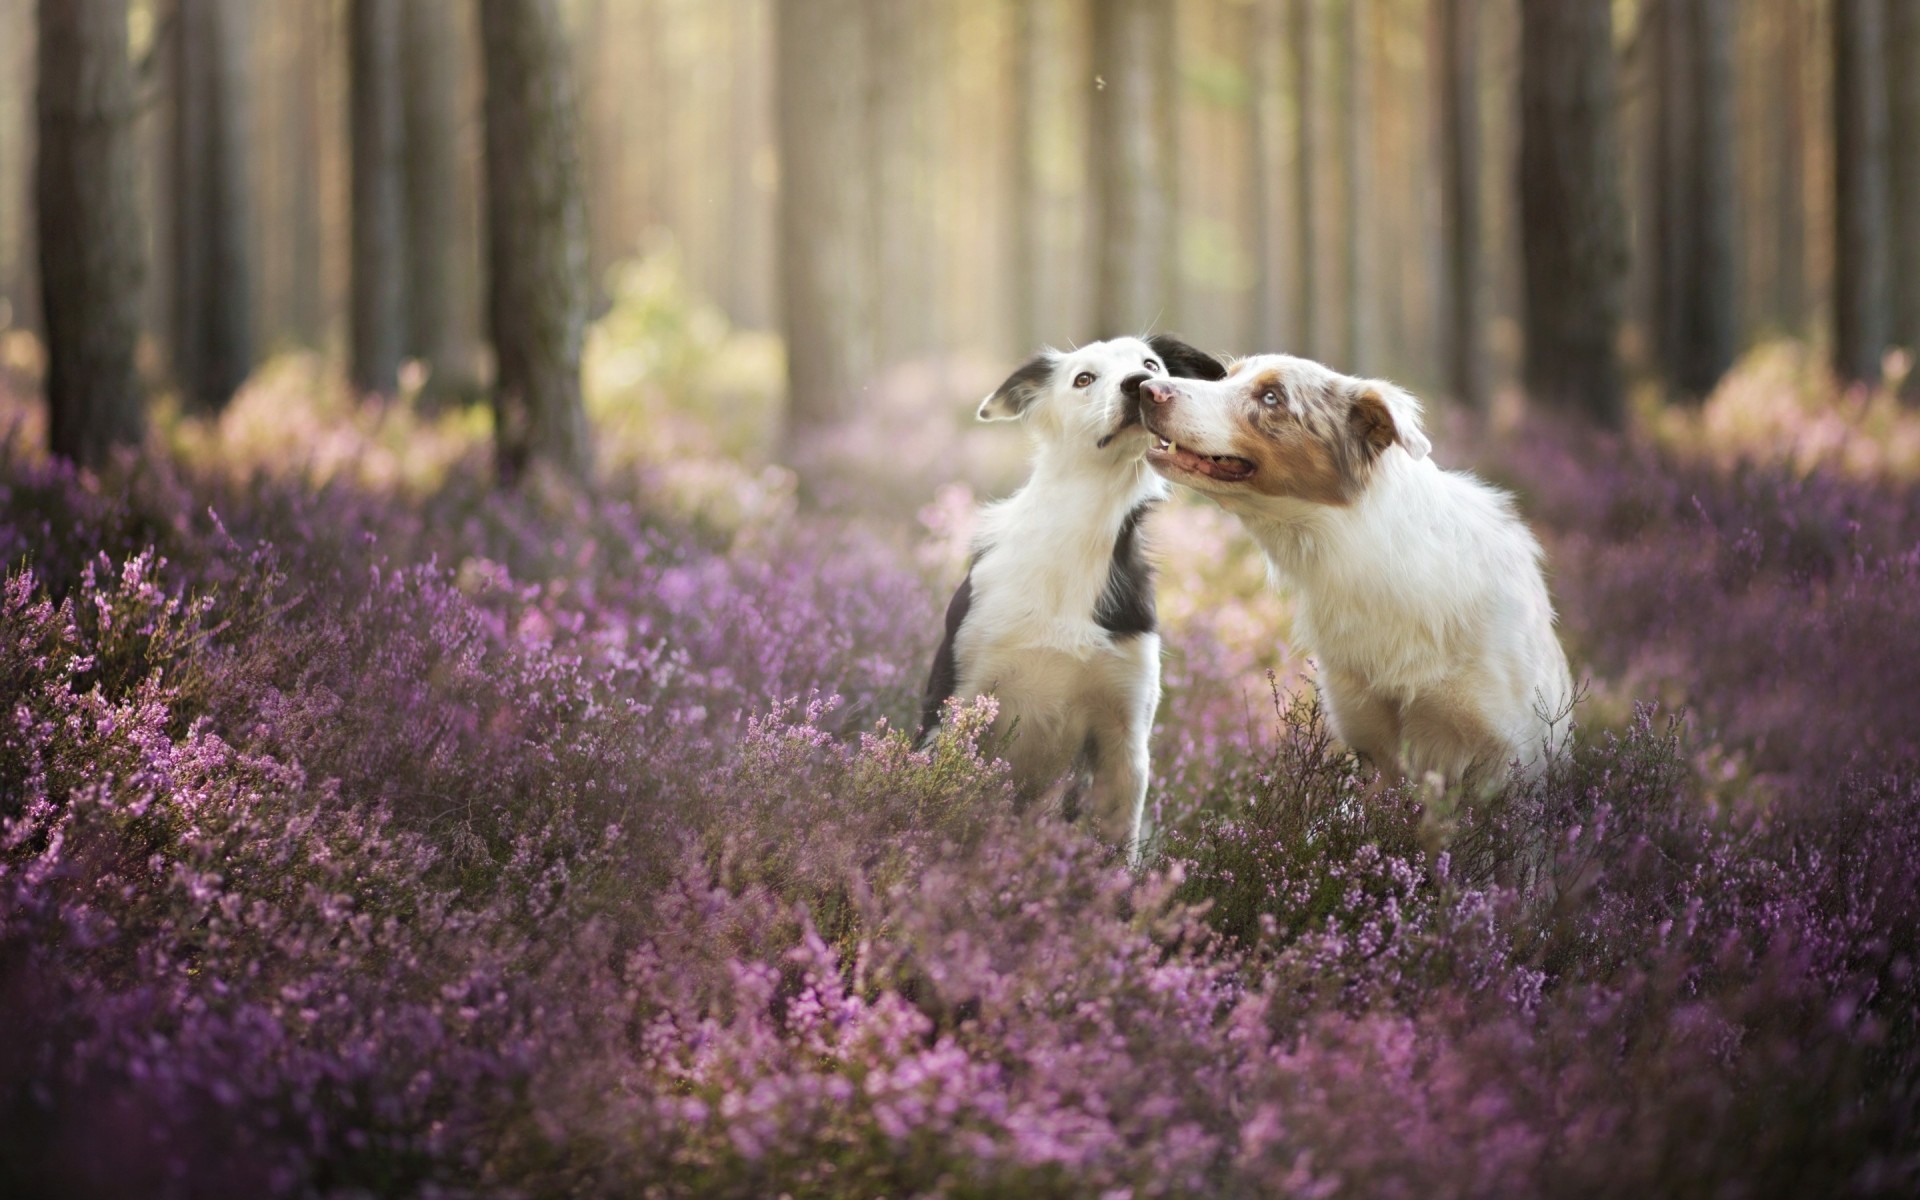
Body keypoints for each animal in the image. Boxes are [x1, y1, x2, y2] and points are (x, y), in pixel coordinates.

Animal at [917, 332, 1221, 856]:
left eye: (1151, 365)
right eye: (1083, 378)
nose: (1141, 385)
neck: (1080, 534)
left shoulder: (1125, 738)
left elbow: (1115, 846)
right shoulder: (958, 700)